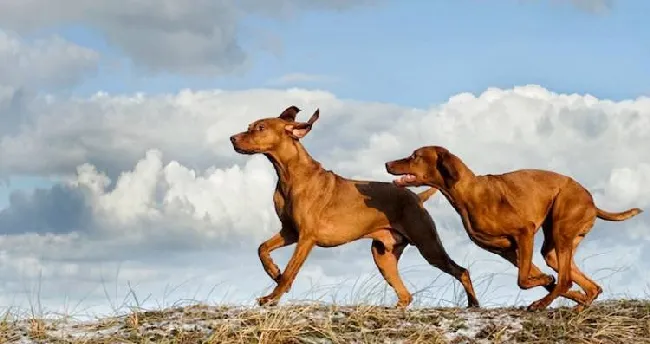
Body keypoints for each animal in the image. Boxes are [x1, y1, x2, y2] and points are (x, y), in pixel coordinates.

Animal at [228, 107, 476, 306]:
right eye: (249, 126)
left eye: (260, 127)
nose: (231, 138)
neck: (290, 175)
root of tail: (416, 197)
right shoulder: (289, 231)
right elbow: (262, 249)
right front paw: (274, 272)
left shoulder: (306, 237)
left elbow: (291, 270)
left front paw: (274, 296)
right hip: (383, 256)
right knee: (406, 295)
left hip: (428, 245)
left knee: (461, 271)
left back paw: (473, 304)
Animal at [382, 146, 640, 312]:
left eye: (414, 156)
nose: (386, 163)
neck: (468, 193)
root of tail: (592, 202)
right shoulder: (508, 252)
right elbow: (538, 279)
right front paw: (551, 284)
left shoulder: (524, 234)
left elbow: (524, 280)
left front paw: (543, 284)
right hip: (554, 249)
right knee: (590, 286)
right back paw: (580, 304)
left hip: (561, 229)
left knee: (566, 280)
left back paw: (541, 304)